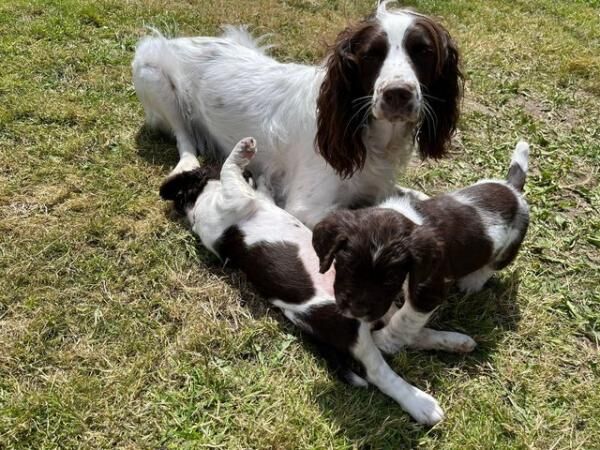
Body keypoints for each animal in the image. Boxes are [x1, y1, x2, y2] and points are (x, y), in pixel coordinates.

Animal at [312, 141, 532, 356]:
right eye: (347, 267)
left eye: (391, 279)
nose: (356, 311)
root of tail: (513, 189)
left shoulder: (428, 291)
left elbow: (403, 319)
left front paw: (384, 342)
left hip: (510, 245)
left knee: (491, 265)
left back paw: (472, 281)